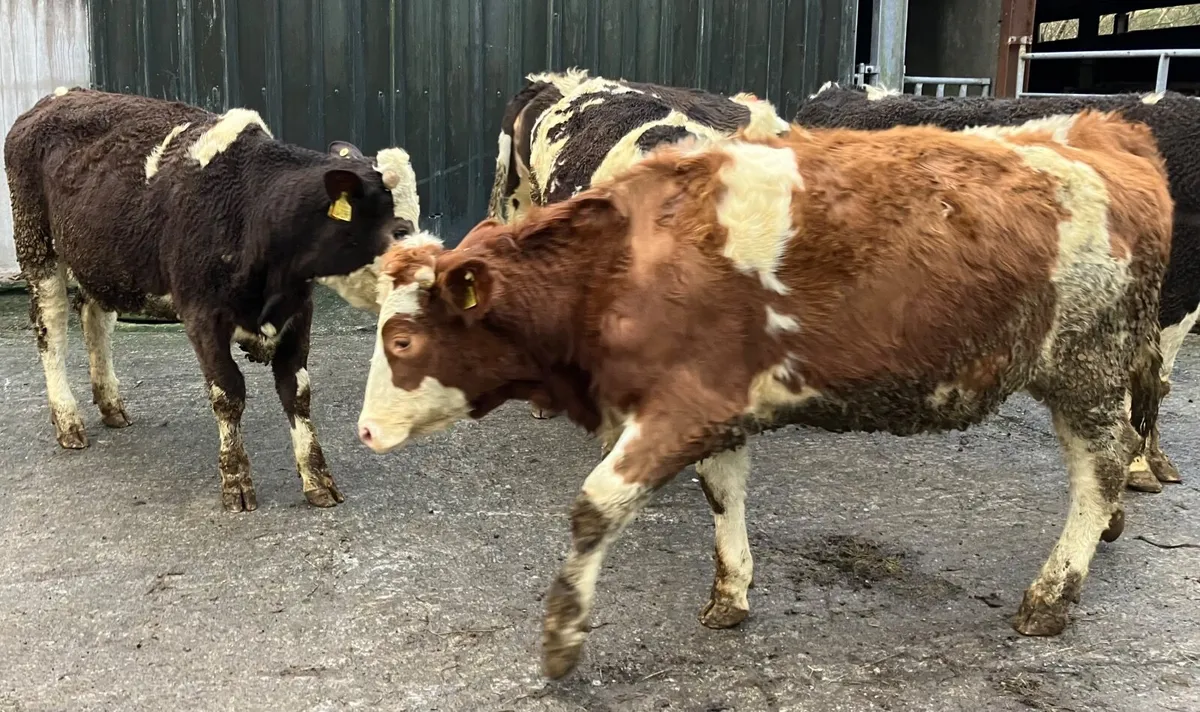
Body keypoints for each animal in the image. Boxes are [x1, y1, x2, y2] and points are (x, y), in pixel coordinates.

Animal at [4, 87, 413, 512]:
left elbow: (297, 392)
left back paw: (111, 405)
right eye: (400, 230)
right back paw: (68, 421)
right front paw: (236, 481)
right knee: (50, 331)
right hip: (37, 248)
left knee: (94, 317)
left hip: (102, 259)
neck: (254, 211)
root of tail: (57, 97)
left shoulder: (299, 312)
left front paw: (317, 478)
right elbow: (228, 392)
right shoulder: (202, 316)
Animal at [355, 110, 1173, 678]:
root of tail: (1102, 132)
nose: (363, 432)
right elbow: (724, 493)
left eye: (403, 342)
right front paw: (731, 593)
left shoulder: (681, 405)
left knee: (1102, 466)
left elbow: (595, 507)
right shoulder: (719, 410)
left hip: (1085, 367)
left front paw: (562, 636)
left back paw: (1051, 596)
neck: (624, 262)